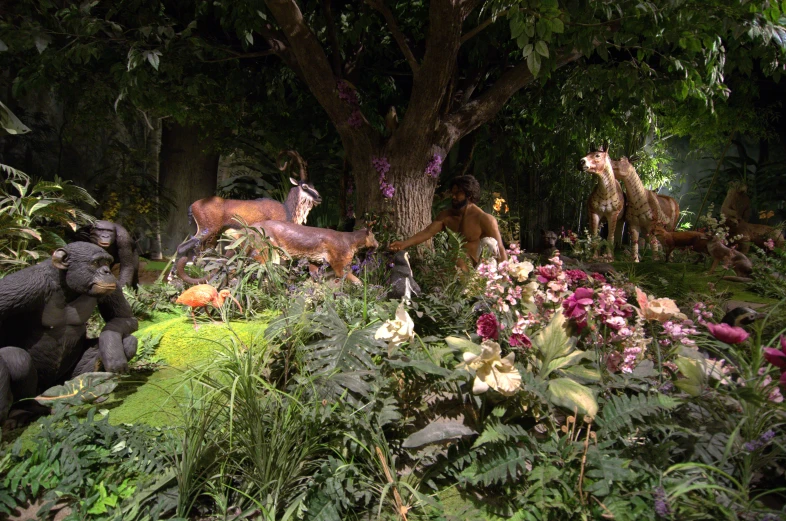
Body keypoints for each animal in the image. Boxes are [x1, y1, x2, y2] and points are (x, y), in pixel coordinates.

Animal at [0, 242, 138, 420]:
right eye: (96, 263)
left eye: (107, 263)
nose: (107, 271)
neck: (64, 285)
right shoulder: (24, 284)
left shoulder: (112, 286)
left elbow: (124, 318)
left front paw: (113, 353)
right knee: (16, 358)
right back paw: (25, 410)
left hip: (69, 378)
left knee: (128, 341)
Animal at [175, 148, 322, 286]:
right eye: (304, 186)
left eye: (313, 185)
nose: (319, 198)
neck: (286, 209)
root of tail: (193, 206)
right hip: (207, 230)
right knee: (183, 248)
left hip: (212, 236)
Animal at [227, 219, 376, 284]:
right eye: (374, 236)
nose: (378, 243)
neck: (351, 241)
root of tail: (244, 230)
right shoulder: (340, 263)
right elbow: (349, 276)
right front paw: (360, 286)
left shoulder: (315, 260)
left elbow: (315, 275)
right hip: (267, 254)